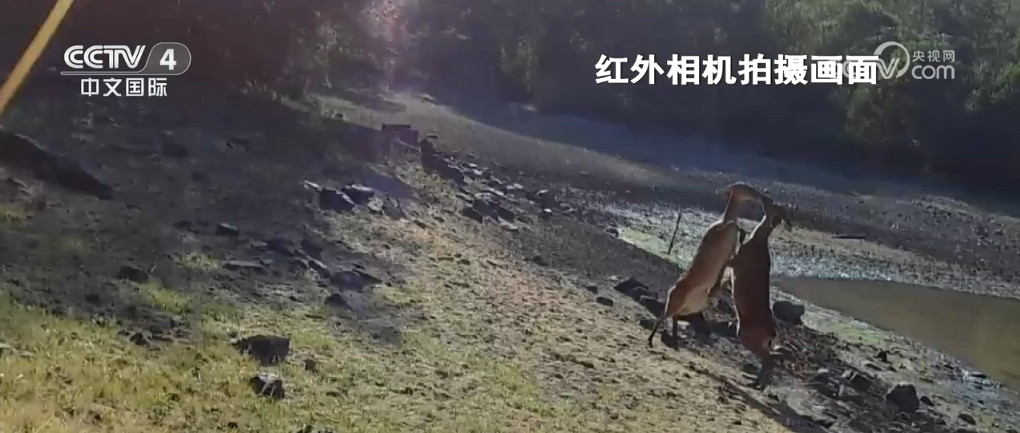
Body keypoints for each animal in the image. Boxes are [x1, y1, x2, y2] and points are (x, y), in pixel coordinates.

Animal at [647, 182, 767, 349]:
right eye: (746, 188)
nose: (762, 197)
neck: (725, 219)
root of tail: (672, 289)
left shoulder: (730, 249)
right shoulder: (722, 233)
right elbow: (734, 227)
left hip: (691, 306)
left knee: (675, 317)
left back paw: (675, 342)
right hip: (675, 304)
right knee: (663, 316)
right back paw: (651, 340)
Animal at [727, 195, 792, 390]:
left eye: (773, 205)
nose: (764, 198)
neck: (758, 240)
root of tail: (771, 333)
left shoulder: (736, 261)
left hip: (745, 335)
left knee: (771, 357)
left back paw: (758, 384)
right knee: (774, 355)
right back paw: (757, 383)